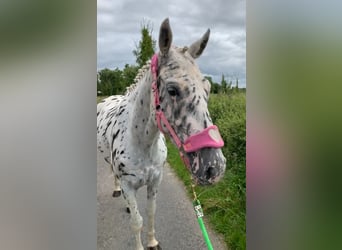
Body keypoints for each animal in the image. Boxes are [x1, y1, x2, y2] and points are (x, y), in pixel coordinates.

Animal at [97, 18, 226, 250]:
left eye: (209, 89)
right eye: (173, 90)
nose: (214, 168)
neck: (142, 143)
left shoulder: (155, 180)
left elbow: (150, 213)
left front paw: (152, 242)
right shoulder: (129, 184)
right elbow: (137, 222)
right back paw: (116, 191)